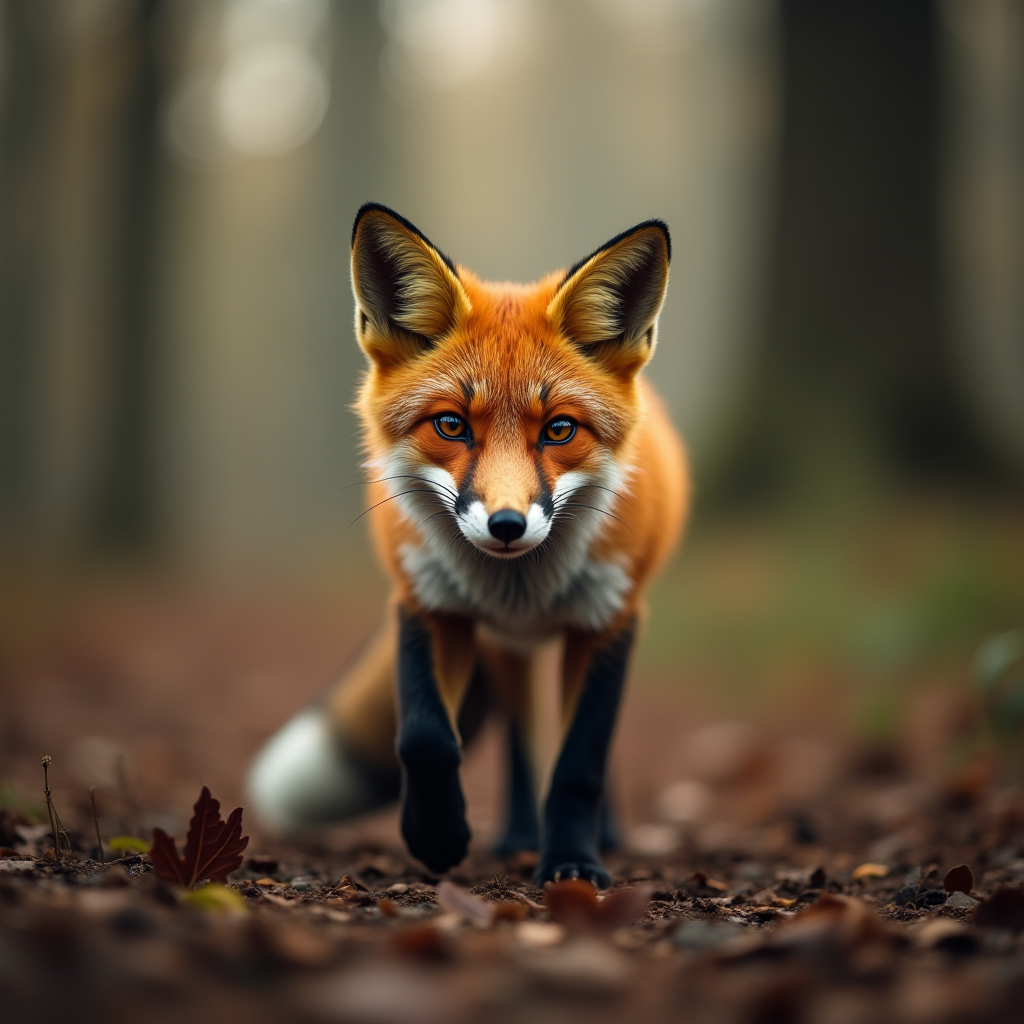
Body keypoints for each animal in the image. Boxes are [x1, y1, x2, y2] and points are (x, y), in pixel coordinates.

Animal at [246, 201, 688, 888]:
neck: (519, 588)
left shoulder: (609, 619)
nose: (506, 525)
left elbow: (580, 763)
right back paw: (518, 834)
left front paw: (572, 862)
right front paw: (436, 837)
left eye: (560, 430)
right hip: (506, 651)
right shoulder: (427, 602)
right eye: (451, 425)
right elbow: (425, 738)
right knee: (521, 743)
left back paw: (600, 835)